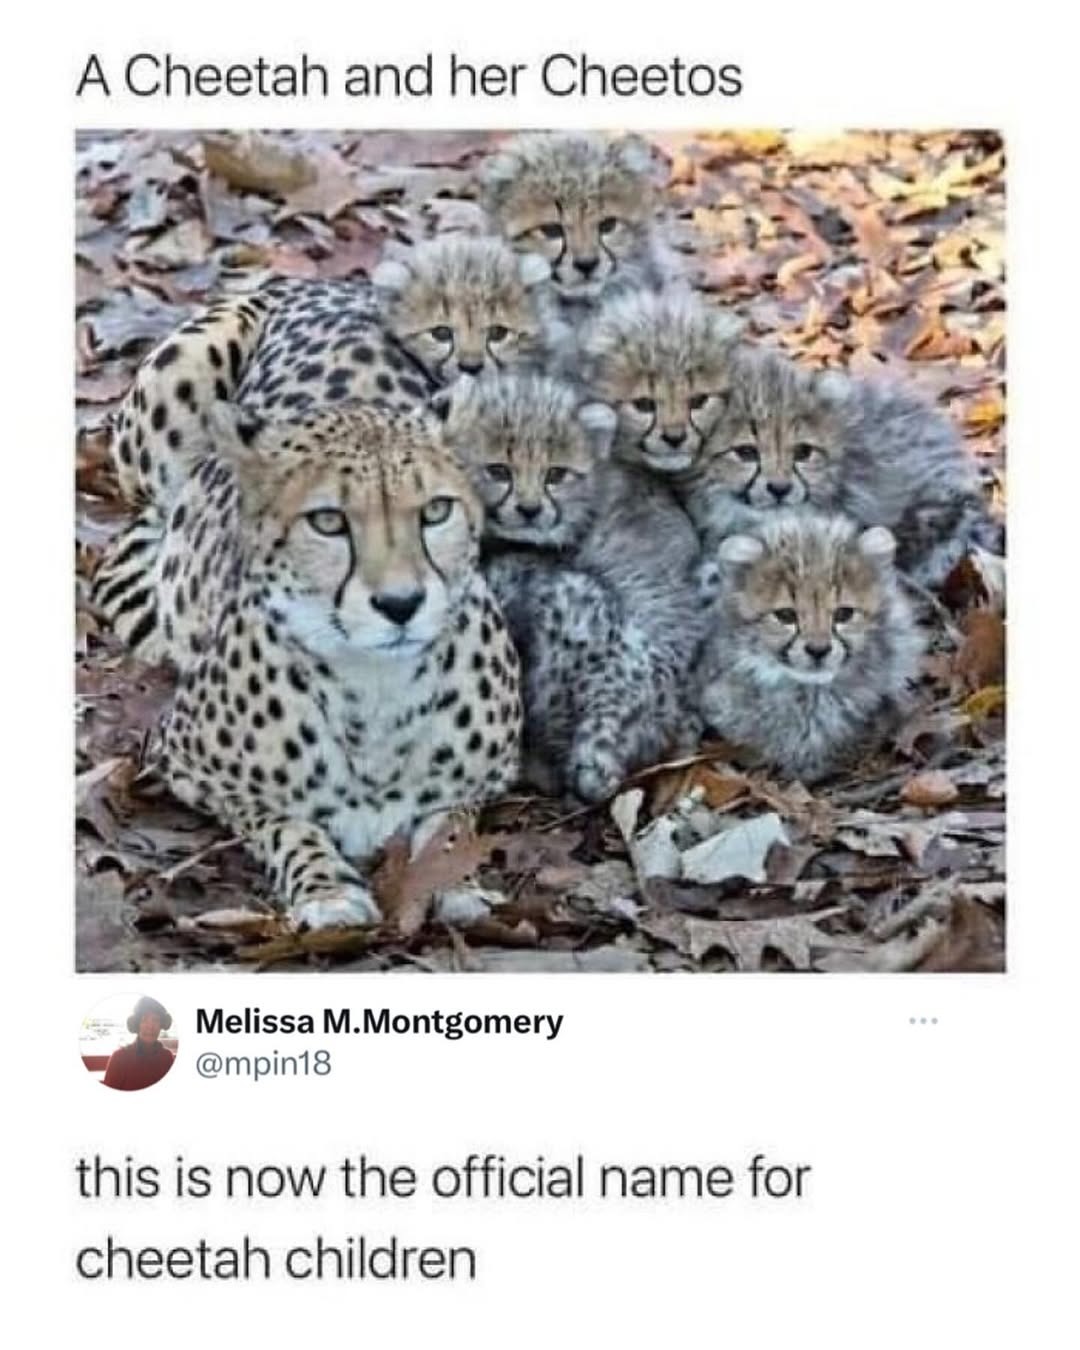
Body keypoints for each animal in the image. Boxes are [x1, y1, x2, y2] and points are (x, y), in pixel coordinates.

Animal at [148, 401, 521, 929]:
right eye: (327, 521)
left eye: (436, 511)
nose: (401, 603)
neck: (376, 684)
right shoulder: (189, 766)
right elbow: (286, 822)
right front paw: (328, 890)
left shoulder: (488, 778)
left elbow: (450, 828)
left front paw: (453, 882)